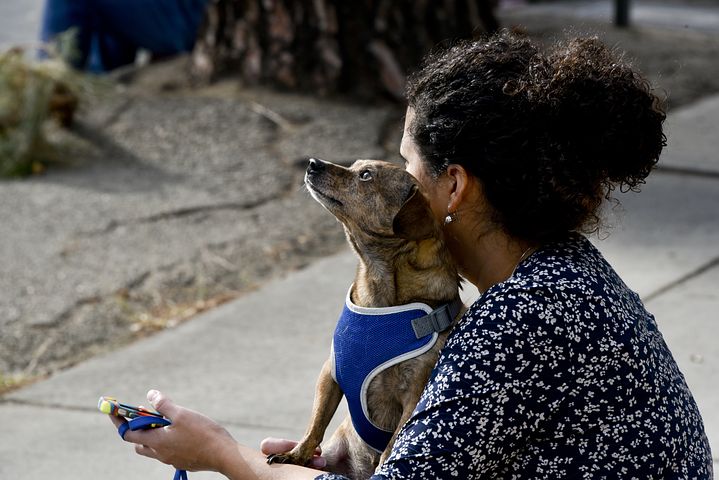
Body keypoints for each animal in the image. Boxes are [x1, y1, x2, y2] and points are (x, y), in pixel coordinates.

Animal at [268, 159, 464, 478]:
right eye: (356, 166)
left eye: (366, 175)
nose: (312, 162)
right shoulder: (329, 374)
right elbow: (316, 423)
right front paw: (296, 455)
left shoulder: (414, 393)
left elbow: (394, 440)